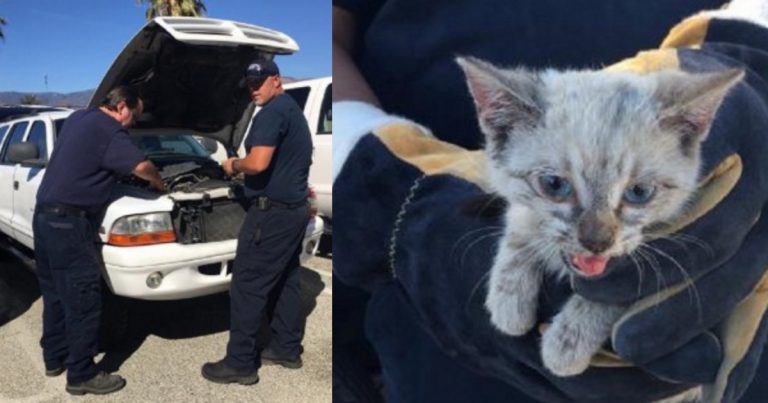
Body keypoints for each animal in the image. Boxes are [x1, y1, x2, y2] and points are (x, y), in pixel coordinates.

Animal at [460, 56, 740, 378]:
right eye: (554, 184)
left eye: (639, 192)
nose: (597, 242)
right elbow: (520, 222)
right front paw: (509, 297)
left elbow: (612, 294)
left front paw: (567, 341)